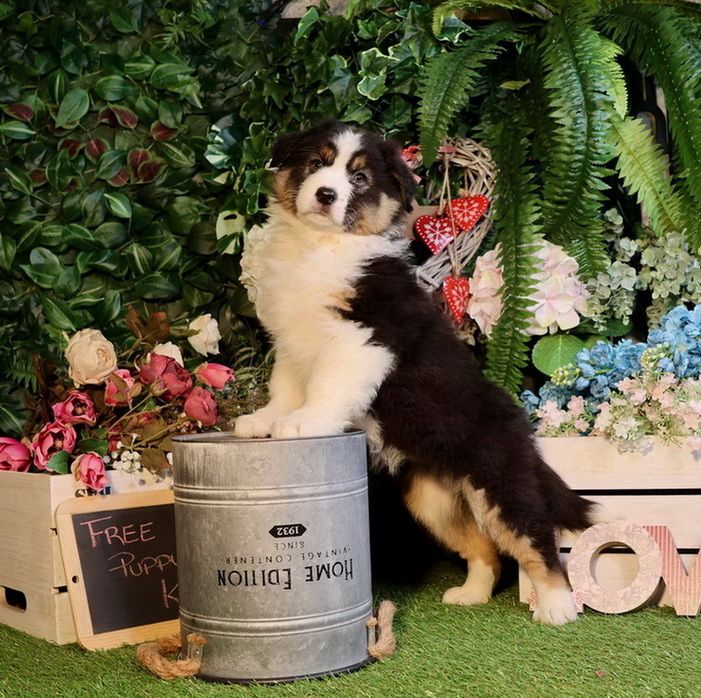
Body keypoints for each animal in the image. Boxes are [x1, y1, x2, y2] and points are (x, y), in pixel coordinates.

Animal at [234, 120, 599, 625]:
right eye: (315, 163)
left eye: (360, 178)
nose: (326, 194)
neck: (322, 247)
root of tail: (521, 429)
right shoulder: (291, 342)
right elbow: (285, 388)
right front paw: (264, 422)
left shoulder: (362, 340)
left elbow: (326, 388)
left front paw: (305, 424)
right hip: (433, 499)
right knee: (483, 548)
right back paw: (471, 595)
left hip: (497, 481)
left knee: (533, 538)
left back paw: (558, 606)